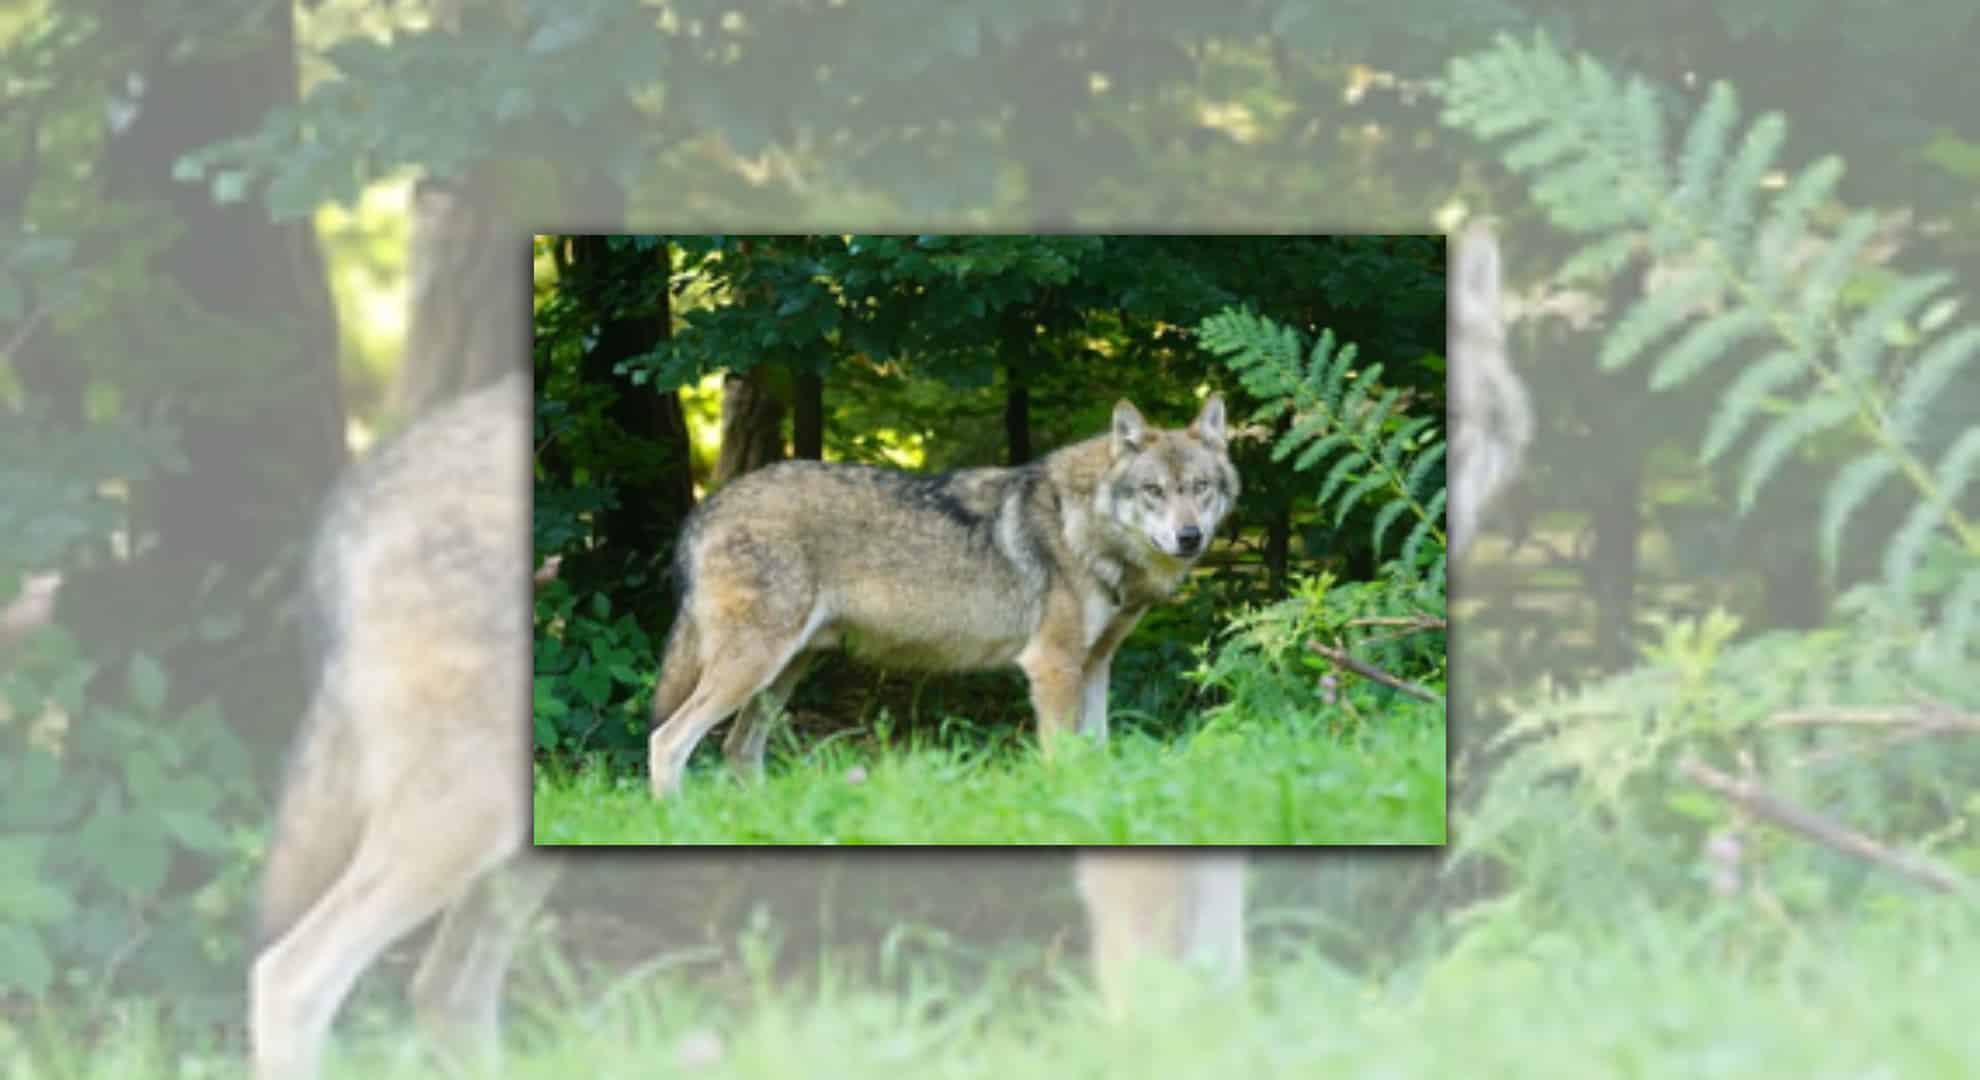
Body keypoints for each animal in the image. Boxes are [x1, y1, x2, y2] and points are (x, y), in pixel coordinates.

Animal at [645, 394, 1241, 797]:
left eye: (1200, 489)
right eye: (1153, 491)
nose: (1189, 537)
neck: (1084, 526)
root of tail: (705, 507)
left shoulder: (1095, 665)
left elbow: (1097, 753)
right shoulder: (1052, 667)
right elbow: (1062, 759)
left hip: (782, 674)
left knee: (737, 749)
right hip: (754, 668)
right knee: (668, 741)